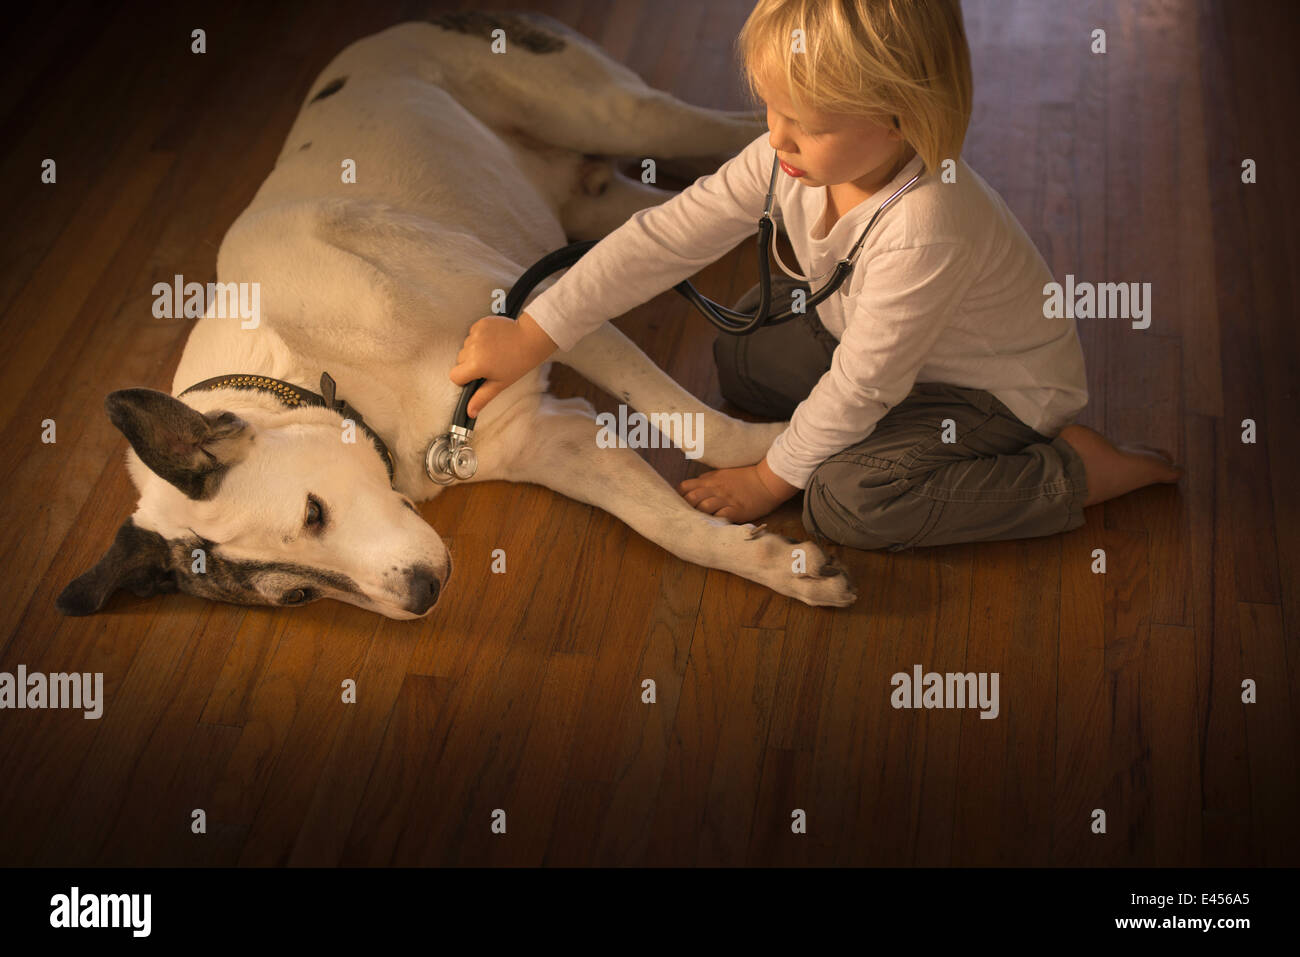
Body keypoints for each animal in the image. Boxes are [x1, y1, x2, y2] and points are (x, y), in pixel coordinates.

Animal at [61, 14, 857, 621]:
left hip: (620, 116)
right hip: (606, 211)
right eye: (297, 596)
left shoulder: (545, 298)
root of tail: (389, 27)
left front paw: (778, 449)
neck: (333, 372)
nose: (421, 595)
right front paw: (775, 564)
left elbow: (697, 424)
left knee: (742, 133)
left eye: (313, 512)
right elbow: (665, 524)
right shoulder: (553, 439)